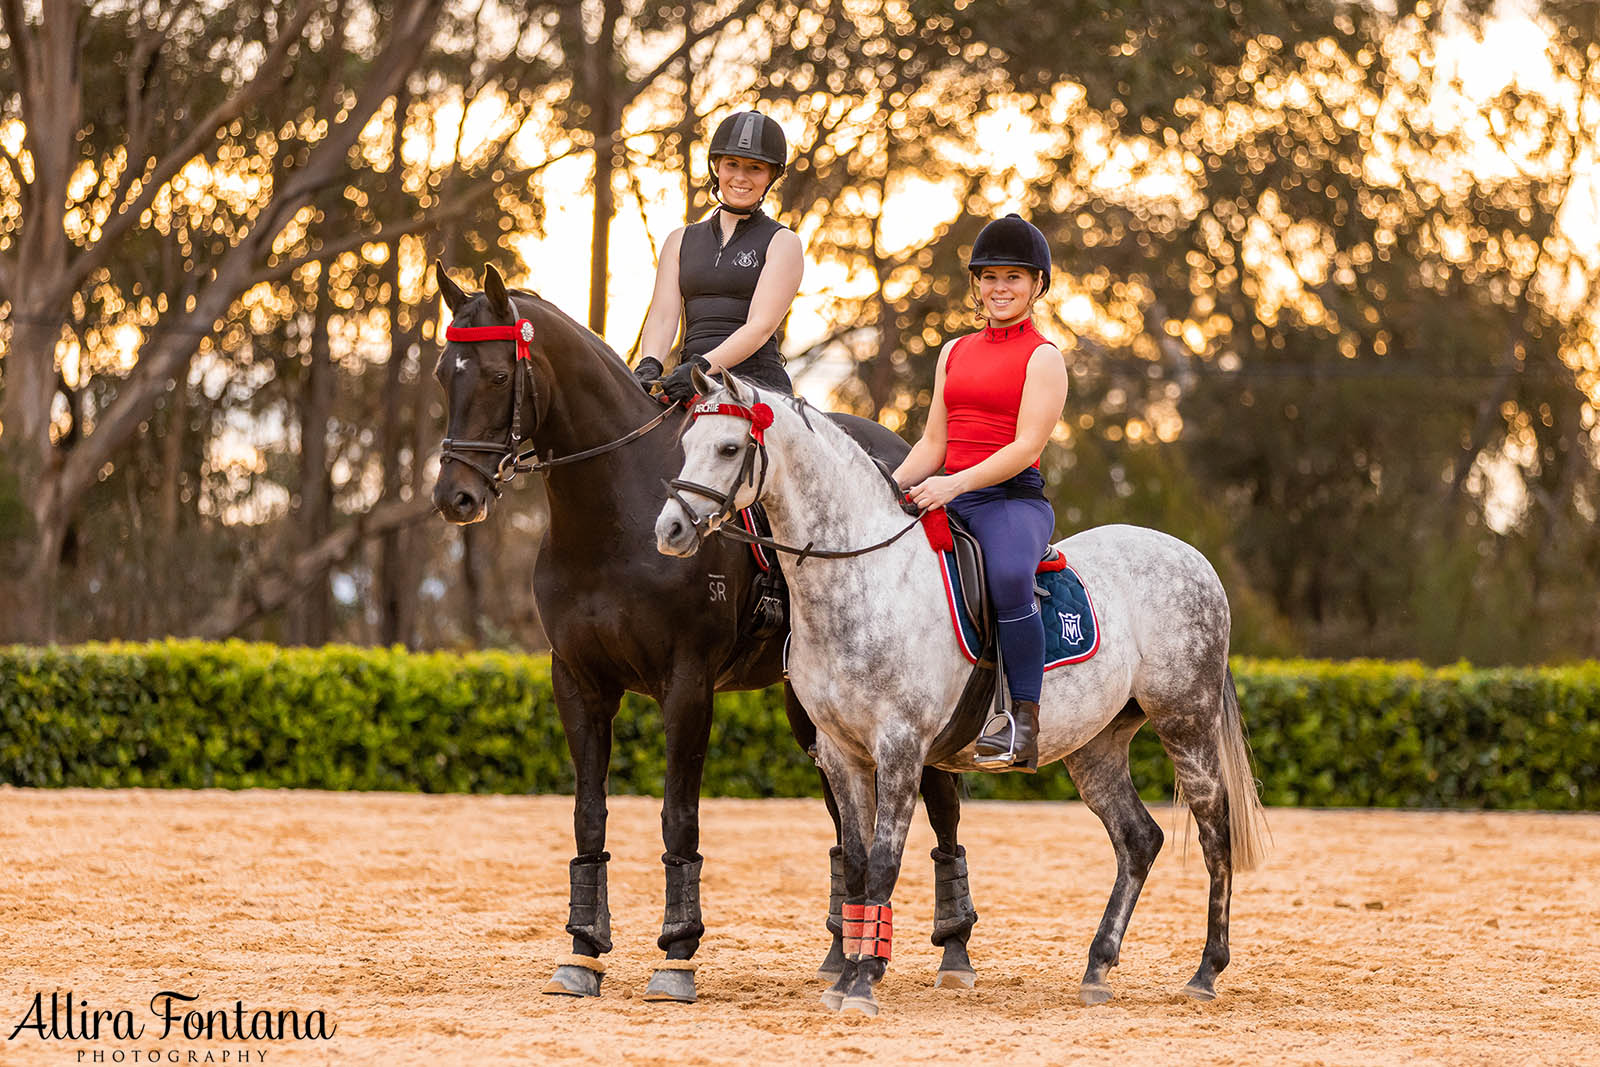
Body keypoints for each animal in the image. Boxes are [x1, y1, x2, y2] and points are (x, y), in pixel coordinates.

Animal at [428, 265, 972, 1004]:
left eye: (492, 373)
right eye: (441, 374)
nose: (455, 497)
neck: (614, 519)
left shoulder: (686, 684)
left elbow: (677, 815)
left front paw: (677, 954)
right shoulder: (577, 683)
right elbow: (589, 814)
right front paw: (583, 952)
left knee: (940, 807)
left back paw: (952, 950)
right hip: (812, 709)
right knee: (844, 823)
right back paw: (842, 953)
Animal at [656, 374, 1267, 1017]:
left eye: (729, 448)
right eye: (686, 443)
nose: (669, 531)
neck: (862, 578)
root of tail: (1191, 556)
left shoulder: (900, 748)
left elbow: (884, 862)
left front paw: (864, 984)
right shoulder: (843, 754)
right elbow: (855, 866)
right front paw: (846, 979)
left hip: (1185, 722)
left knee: (1214, 831)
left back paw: (1205, 972)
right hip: (1096, 746)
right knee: (1138, 839)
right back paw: (1098, 967)